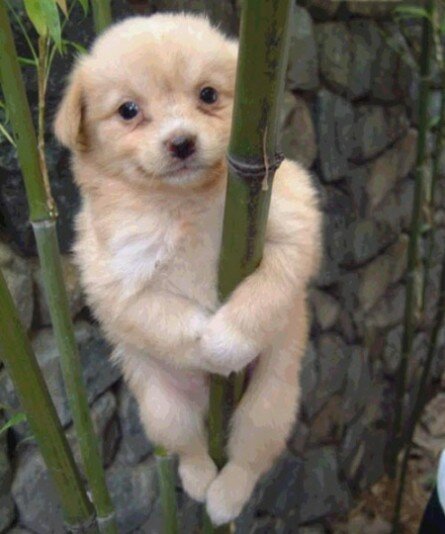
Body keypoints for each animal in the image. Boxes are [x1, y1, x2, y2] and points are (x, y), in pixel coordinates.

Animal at [54, 13, 320, 528]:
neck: (183, 203)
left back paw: (225, 499)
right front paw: (205, 344)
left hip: (268, 403)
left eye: (209, 95)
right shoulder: (118, 283)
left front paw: (227, 340)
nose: (181, 142)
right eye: (129, 110)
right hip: (164, 408)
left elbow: (265, 293)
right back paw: (199, 481)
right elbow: (169, 322)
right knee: (188, 448)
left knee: (247, 458)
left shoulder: (291, 226)